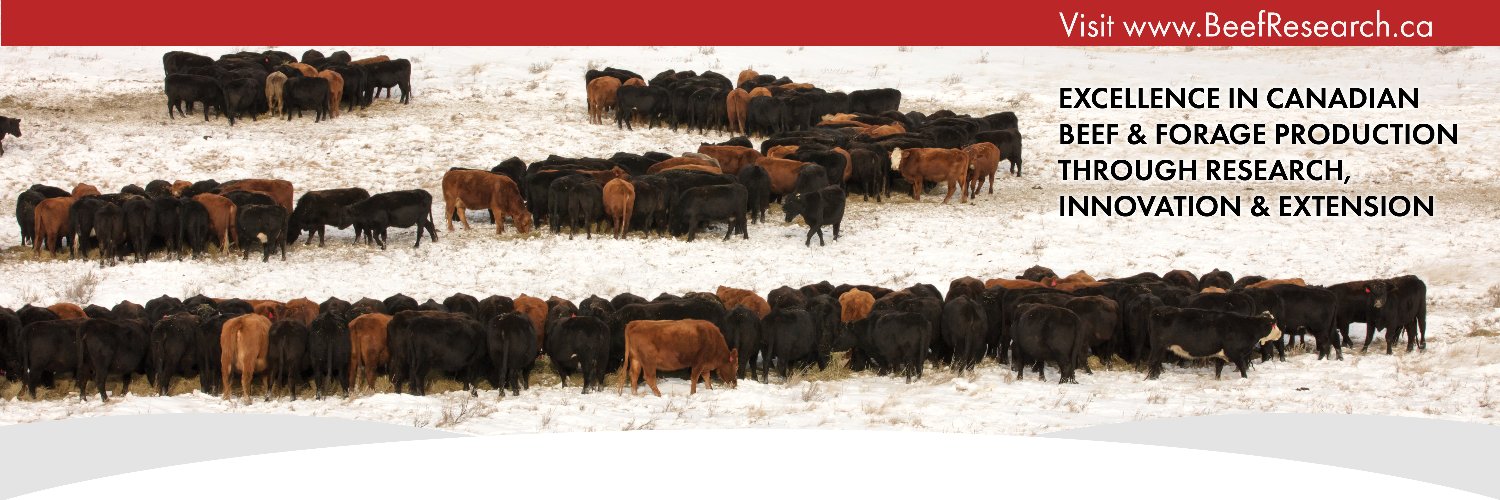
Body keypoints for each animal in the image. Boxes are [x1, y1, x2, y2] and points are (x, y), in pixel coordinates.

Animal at [1145, 307, 1281, 380]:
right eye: (1274, 324)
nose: (1280, 333)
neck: (1246, 327)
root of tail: (1158, 310)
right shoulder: (1235, 353)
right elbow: (1242, 367)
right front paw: (1245, 379)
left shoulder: (1221, 354)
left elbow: (1218, 368)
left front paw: (1217, 380)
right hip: (1157, 347)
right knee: (1153, 362)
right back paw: (1152, 379)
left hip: (1161, 348)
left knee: (1156, 363)